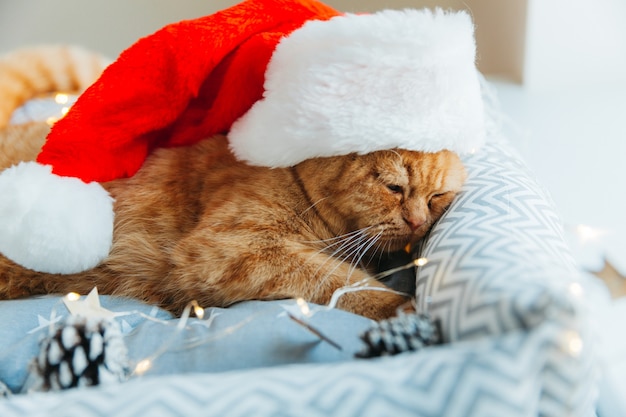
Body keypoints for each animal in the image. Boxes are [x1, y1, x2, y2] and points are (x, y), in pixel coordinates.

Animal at [0, 45, 464, 320]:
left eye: (437, 196)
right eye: (394, 187)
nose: (418, 223)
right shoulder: (235, 249)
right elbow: (335, 280)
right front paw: (399, 306)